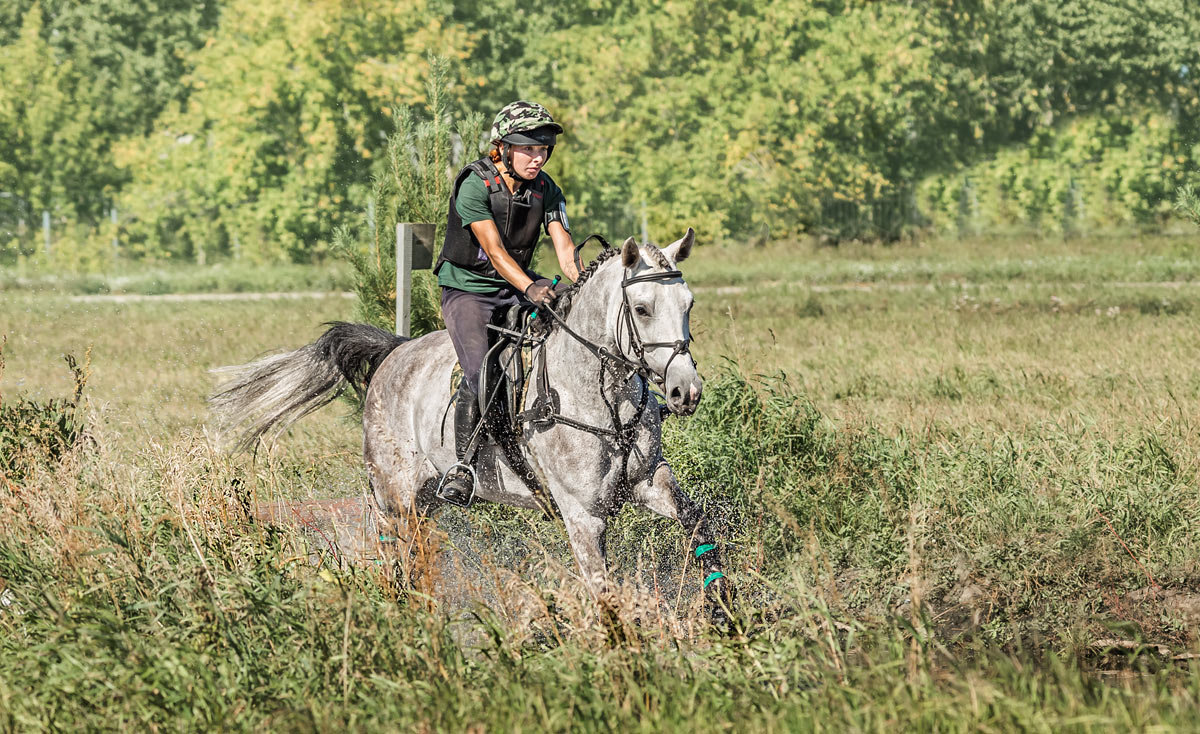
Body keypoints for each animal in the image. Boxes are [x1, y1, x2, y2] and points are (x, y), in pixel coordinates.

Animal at [210, 230, 729, 623]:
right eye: (641, 309)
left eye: (689, 303)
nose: (686, 391)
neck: (600, 395)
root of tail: (394, 352)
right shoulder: (583, 514)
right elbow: (603, 589)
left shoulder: (647, 481)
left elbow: (696, 521)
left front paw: (723, 609)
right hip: (395, 495)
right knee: (394, 550)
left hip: (426, 500)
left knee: (415, 553)